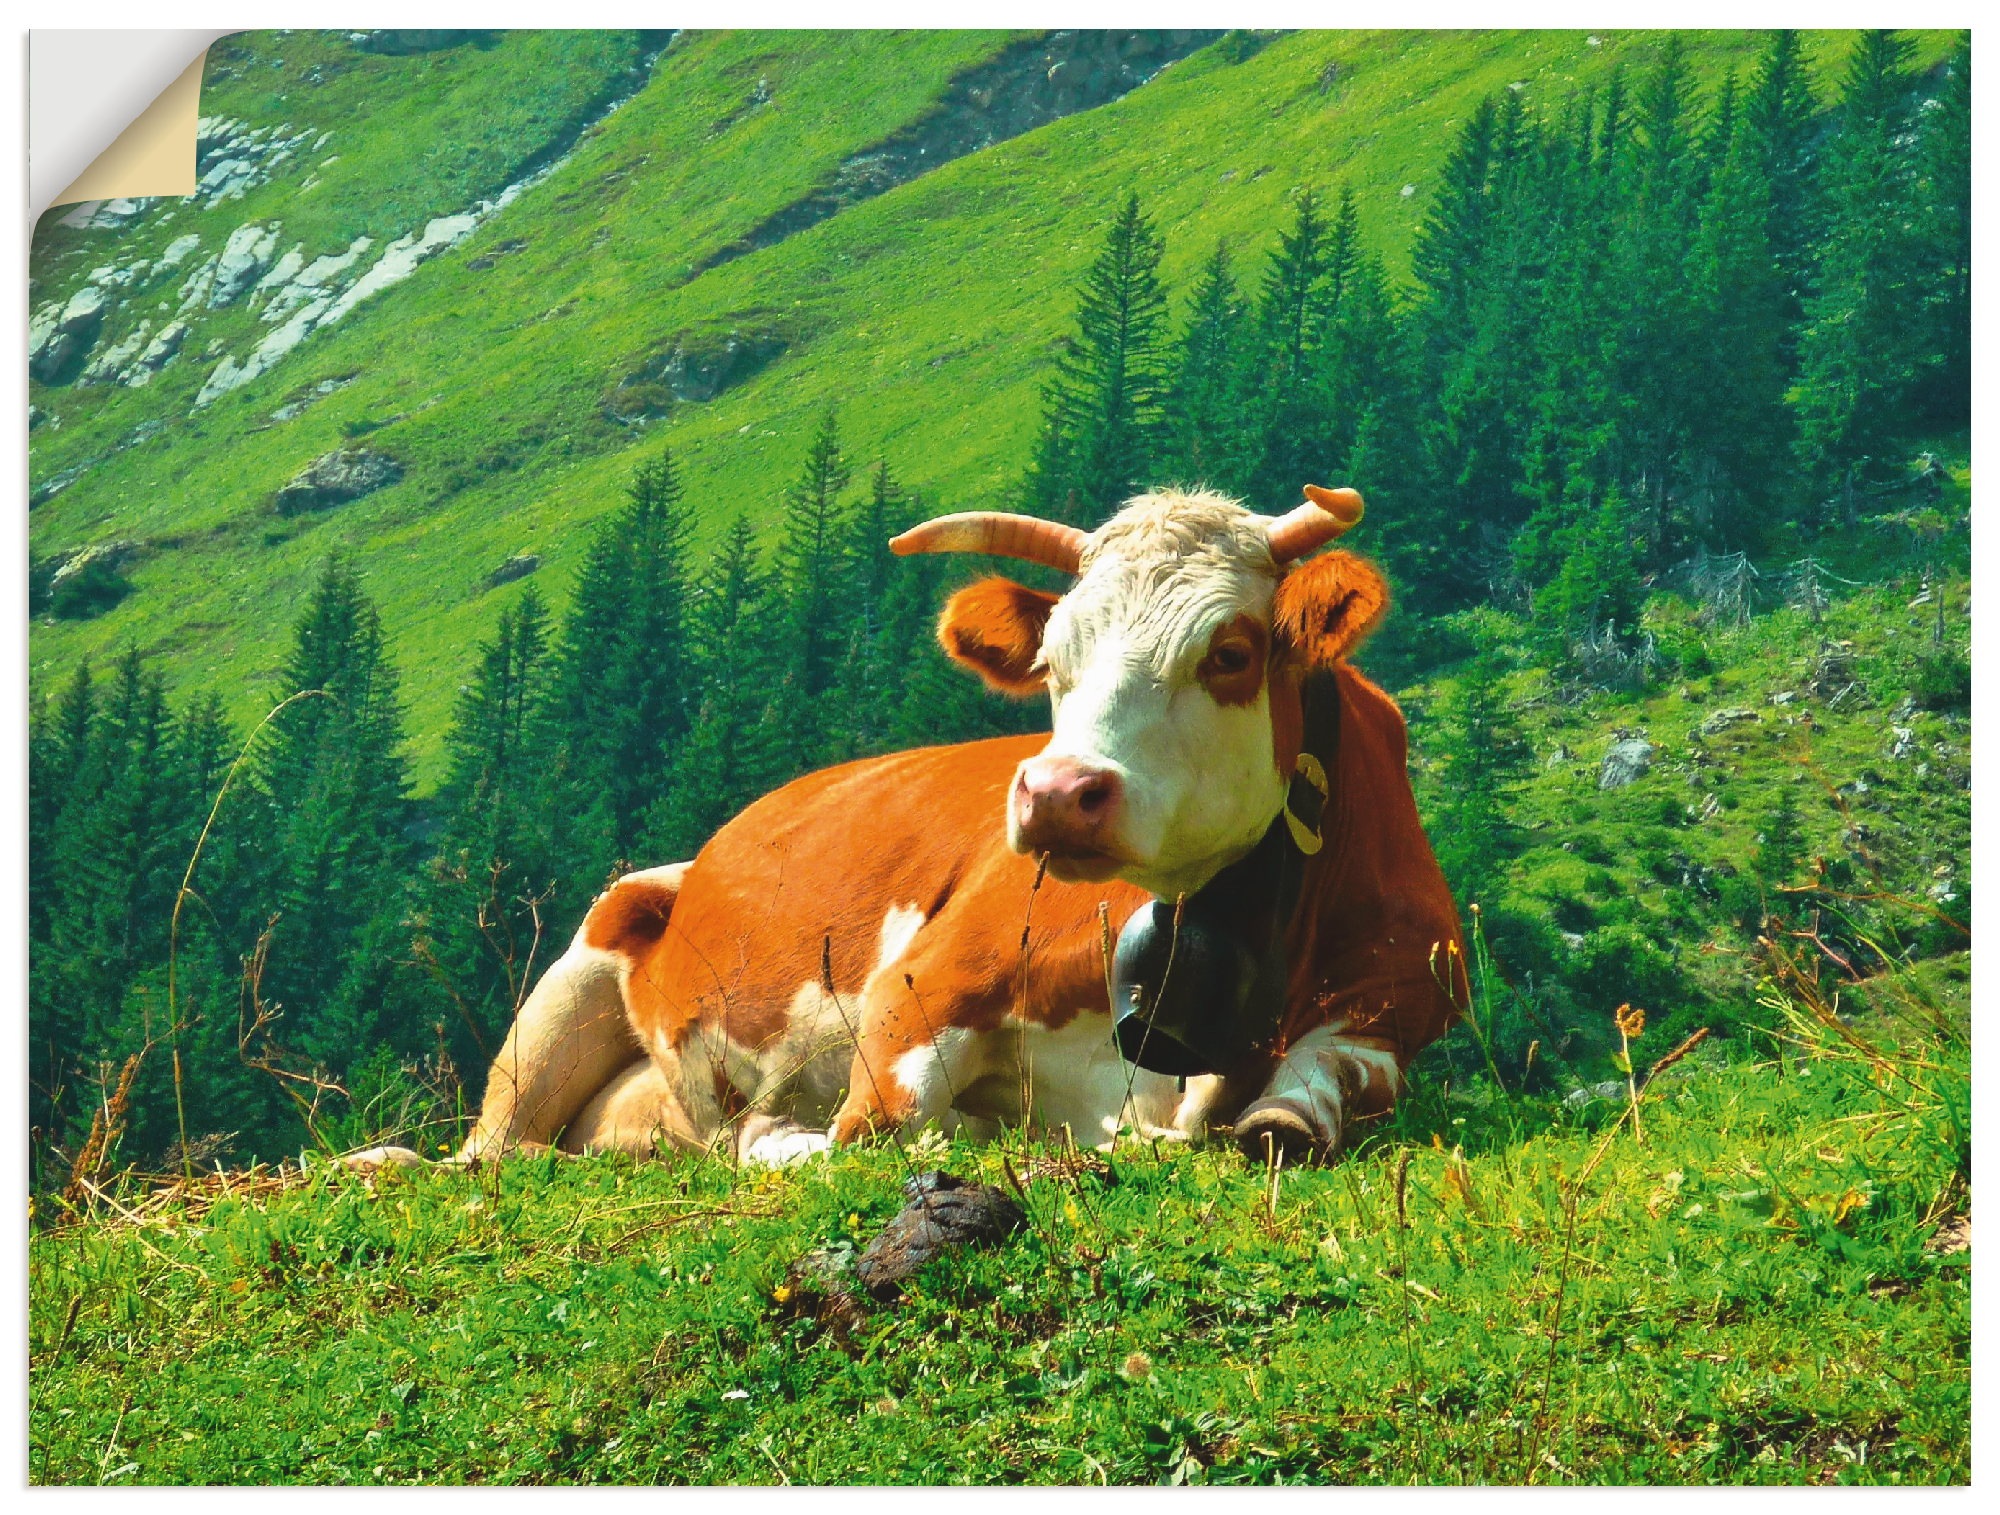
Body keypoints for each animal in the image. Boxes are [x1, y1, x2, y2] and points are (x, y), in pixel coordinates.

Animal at [350, 484, 1466, 1174]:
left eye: (1229, 651)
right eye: (1051, 657)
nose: (1054, 793)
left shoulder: (1393, 1010)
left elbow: (1302, 1109)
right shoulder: (921, 984)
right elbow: (878, 1126)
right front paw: (795, 1140)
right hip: (571, 973)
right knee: (485, 1151)